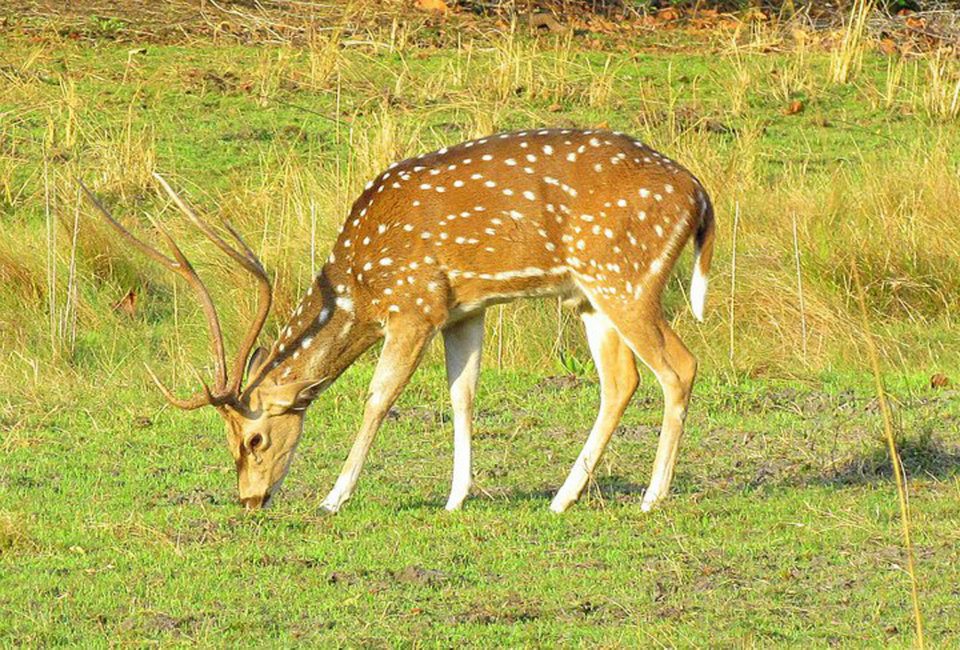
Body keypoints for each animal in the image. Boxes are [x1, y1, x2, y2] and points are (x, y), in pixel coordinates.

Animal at [80, 126, 712, 512]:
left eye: (255, 438)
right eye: (231, 439)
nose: (249, 500)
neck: (361, 282)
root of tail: (700, 195)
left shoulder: (414, 305)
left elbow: (379, 396)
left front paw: (333, 498)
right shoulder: (462, 309)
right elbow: (463, 393)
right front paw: (456, 497)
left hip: (624, 278)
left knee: (679, 365)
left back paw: (651, 497)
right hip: (589, 297)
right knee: (621, 380)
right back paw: (563, 498)